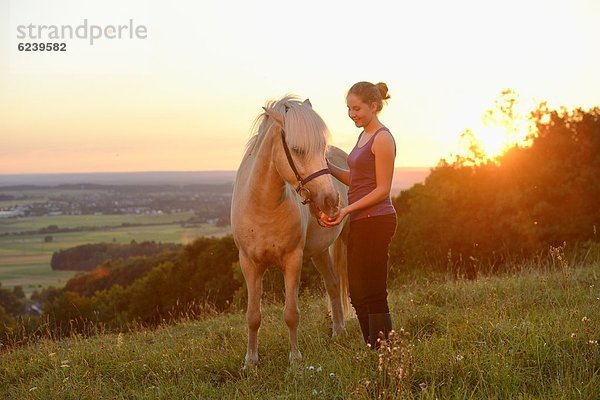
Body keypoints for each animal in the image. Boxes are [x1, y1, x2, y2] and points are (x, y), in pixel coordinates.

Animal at [230, 95, 352, 368]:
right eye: (297, 149)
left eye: (322, 148)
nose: (331, 201)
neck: (263, 206)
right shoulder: (249, 264)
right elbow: (253, 316)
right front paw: (250, 361)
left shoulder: (293, 261)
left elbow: (291, 314)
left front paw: (295, 360)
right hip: (319, 252)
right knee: (333, 283)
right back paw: (338, 331)